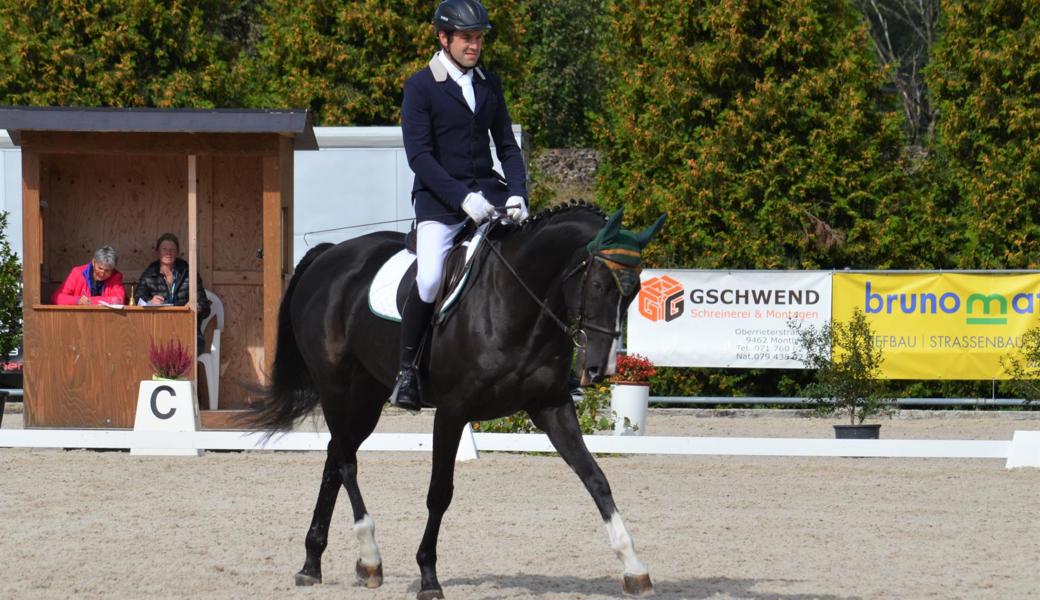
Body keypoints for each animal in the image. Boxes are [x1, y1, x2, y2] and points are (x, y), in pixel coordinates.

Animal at [253, 203, 665, 594]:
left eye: (633, 292)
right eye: (597, 284)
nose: (600, 369)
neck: (517, 300)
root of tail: (329, 255)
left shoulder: (551, 406)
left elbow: (595, 478)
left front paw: (634, 568)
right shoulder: (452, 411)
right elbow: (440, 493)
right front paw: (428, 576)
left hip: (368, 394)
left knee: (335, 456)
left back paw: (315, 563)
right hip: (337, 387)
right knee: (346, 462)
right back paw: (367, 556)